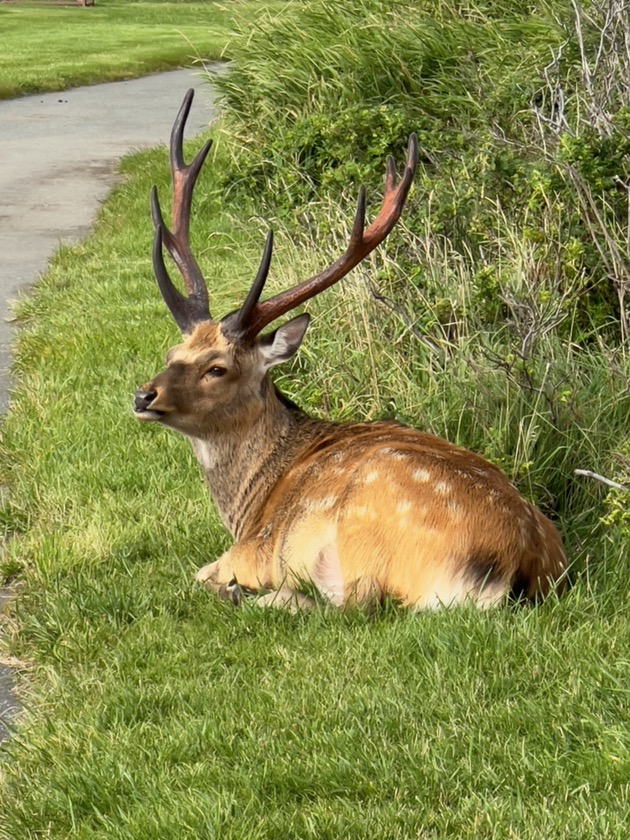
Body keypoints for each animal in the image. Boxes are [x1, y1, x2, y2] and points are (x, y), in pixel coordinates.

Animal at [133, 92, 568, 612]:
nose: (143, 395)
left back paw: (252, 596)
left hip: (363, 535)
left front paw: (227, 585)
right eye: (173, 351)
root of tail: (516, 569)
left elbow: (199, 572)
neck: (248, 506)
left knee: (352, 604)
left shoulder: (252, 550)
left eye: (217, 368)